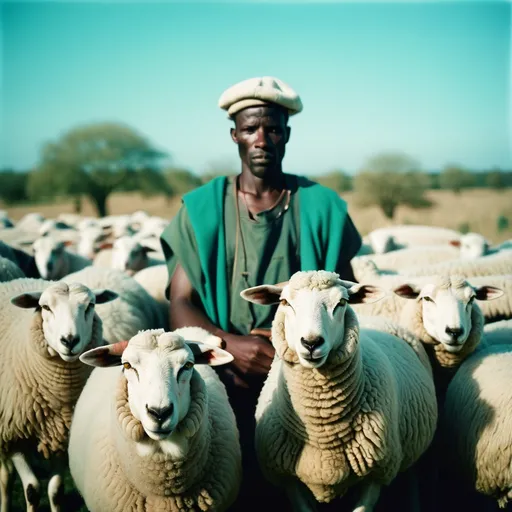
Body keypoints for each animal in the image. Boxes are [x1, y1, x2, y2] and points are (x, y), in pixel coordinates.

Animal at [0, 280, 117, 512]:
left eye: (90, 305)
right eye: (45, 307)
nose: (69, 340)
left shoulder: (64, 434)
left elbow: (56, 490)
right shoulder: (14, 433)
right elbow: (32, 489)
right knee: (6, 475)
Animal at [240, 270, 436, 510]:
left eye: (341, 303)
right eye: (285, 302)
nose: (311, 343)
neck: (323, 429)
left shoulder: (376, 475)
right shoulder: (288, 479)